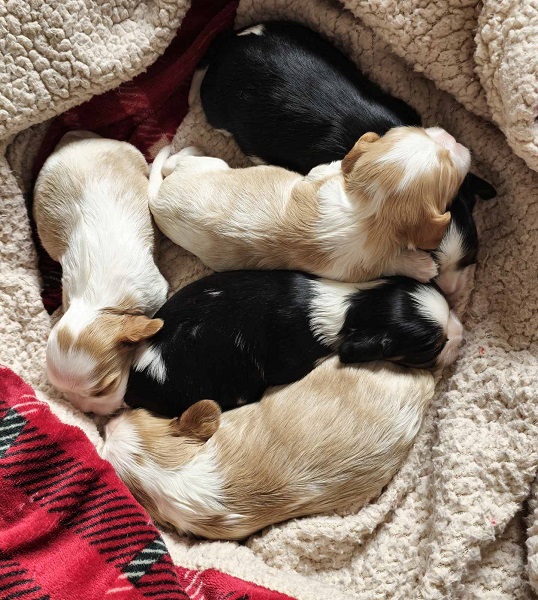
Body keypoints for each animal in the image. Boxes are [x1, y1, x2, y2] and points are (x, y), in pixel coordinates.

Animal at [33, 131, 168, 414]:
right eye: (66, 395)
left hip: (130, 152)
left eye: (106, 387)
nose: (90, 413)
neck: (100, 305)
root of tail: (71, 137)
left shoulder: (156, 292)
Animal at [148, 125, 468, 284]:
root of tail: (157, 199)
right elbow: (391, 262)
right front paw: (422, 266)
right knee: (177, 160)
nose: (452, 137)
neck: (369, 209)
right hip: (208, 165)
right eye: (450, 169)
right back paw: (191, 147)